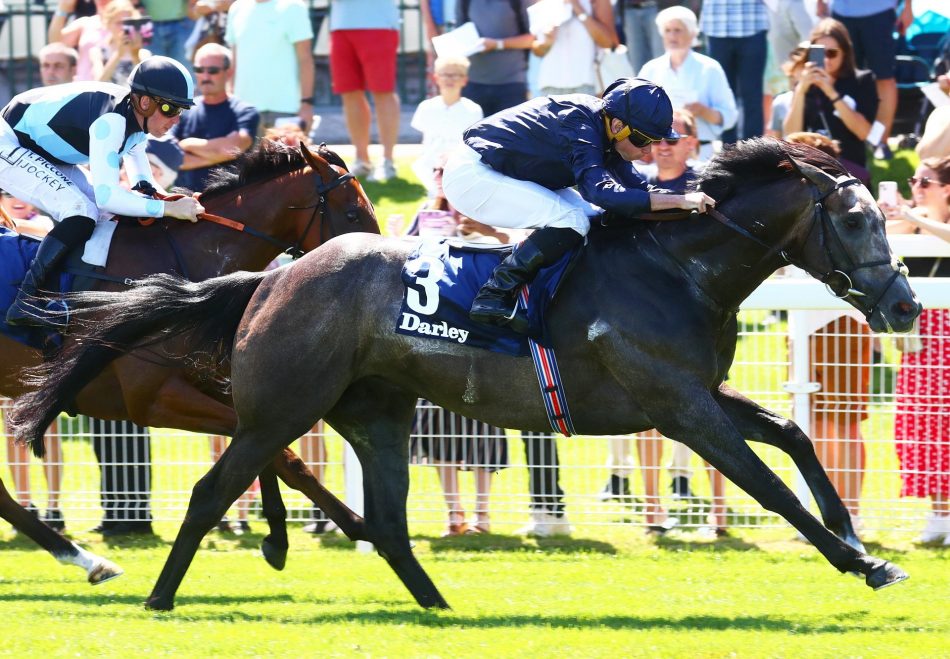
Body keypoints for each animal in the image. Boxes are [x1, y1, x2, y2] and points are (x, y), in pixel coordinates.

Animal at [1, 138, 378, 572]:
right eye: (351, 212)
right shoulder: (152, 400)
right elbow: (277, 454)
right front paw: (355, 525)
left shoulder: (215, 384)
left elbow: (274, 455)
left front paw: (279, 537)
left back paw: (85, 559)